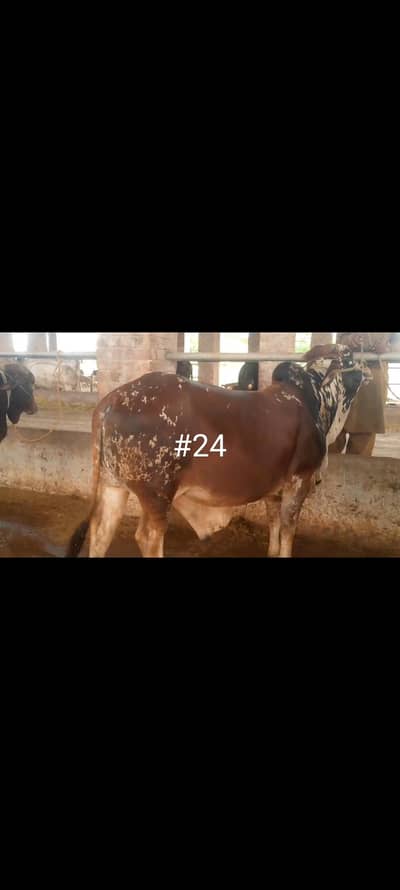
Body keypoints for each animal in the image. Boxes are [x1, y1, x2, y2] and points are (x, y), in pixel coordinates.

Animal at [66, 344, 371, 559]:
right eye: (350, 357)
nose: (369, 370)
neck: (316, 400)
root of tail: (111, 401)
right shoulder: (300, 479)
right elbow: (287, 528)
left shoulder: (274, 488)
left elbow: (273, 524)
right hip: (157, 493)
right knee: (147, 537)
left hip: (114, 485)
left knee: (101, 531)